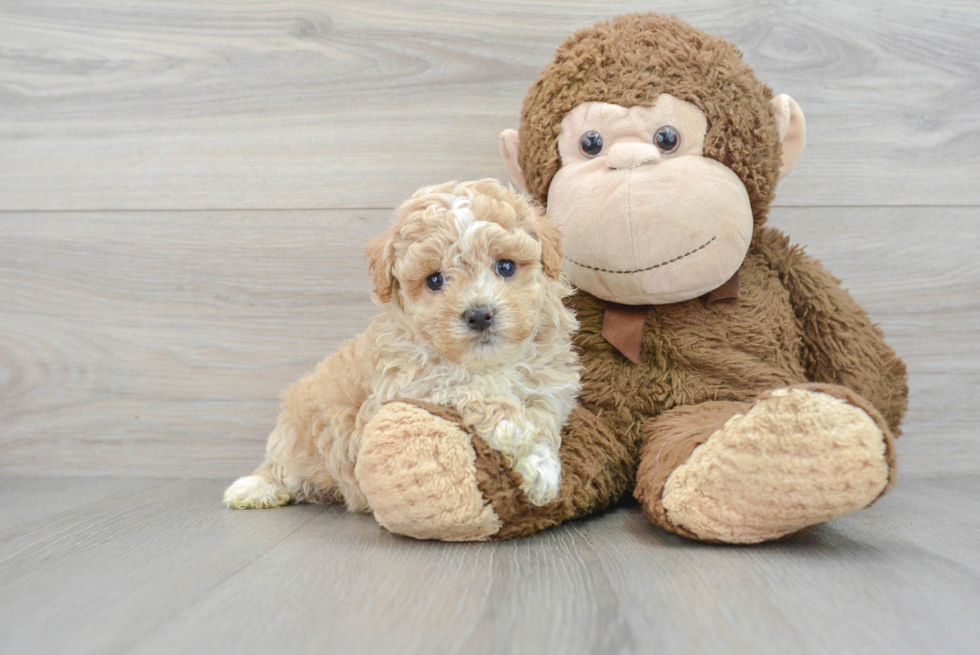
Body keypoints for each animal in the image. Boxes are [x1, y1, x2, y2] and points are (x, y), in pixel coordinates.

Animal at [224, 179, 580, 512]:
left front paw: (542, 467)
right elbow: (486, 398)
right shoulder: (416, 386)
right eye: (434, 280)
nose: (479, 315)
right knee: (279, 466)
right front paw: (532, 458)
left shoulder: (547, 391)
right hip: (294, 435)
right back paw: (253, 488)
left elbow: (543, 422)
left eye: (505, 266)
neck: (486, 363)